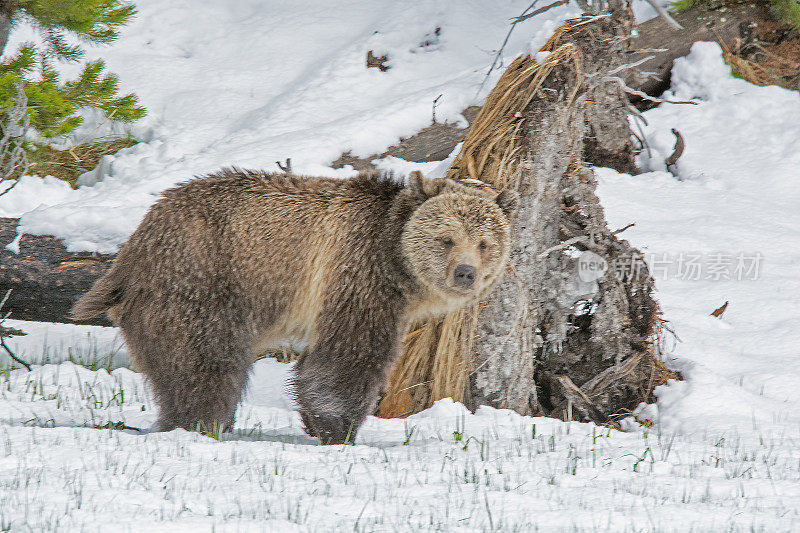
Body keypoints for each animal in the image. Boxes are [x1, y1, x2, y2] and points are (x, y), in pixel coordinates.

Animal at [72, 168, 516, 442]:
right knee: (205, 363)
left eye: (484, 243)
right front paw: (337, 428)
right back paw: (198, 423)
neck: (397, 262)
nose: (465, 273)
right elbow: (344, 361)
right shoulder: (358, 274)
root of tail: (132, 249)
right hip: (201, 280)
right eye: (446, 238)